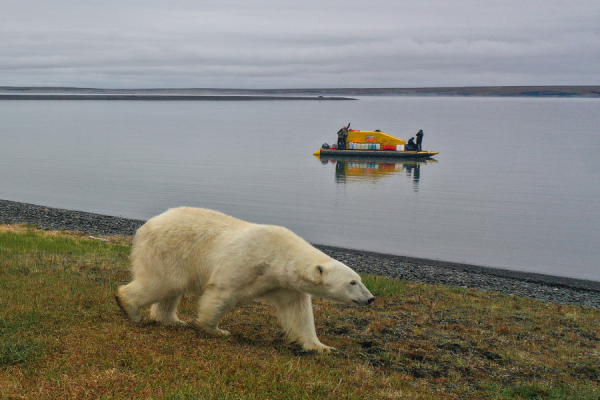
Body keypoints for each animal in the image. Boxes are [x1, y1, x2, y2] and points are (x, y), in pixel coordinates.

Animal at [115, 208, 372, 352]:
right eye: (352, 283)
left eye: (359, 279)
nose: (370, 298)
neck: (279, 255)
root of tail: (145, 226)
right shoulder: (246, 261)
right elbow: (222, 293)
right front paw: (216, 330)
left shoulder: (285, 285)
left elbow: (298, 313)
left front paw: (321, 347)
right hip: (171, 250)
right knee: (162, 282)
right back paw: (129, 306)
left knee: (171, 289)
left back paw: (173, 320)